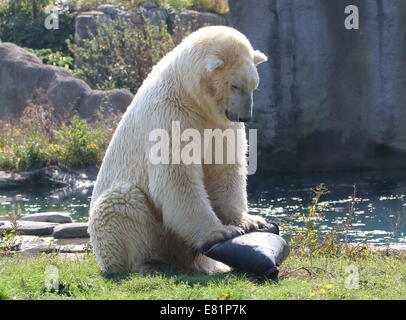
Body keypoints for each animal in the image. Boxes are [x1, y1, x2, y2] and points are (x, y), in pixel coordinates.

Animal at [87, 25, 268, 276]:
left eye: (254, 86)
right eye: (234, 85)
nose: (244, 116)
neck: (188, 92)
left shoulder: (221, 124)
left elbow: (225, 167)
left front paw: (251, 222)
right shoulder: (170, 113)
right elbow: (176, 175)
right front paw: (219, 232)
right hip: (119, 231)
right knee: (122, 203)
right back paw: (149, 264)